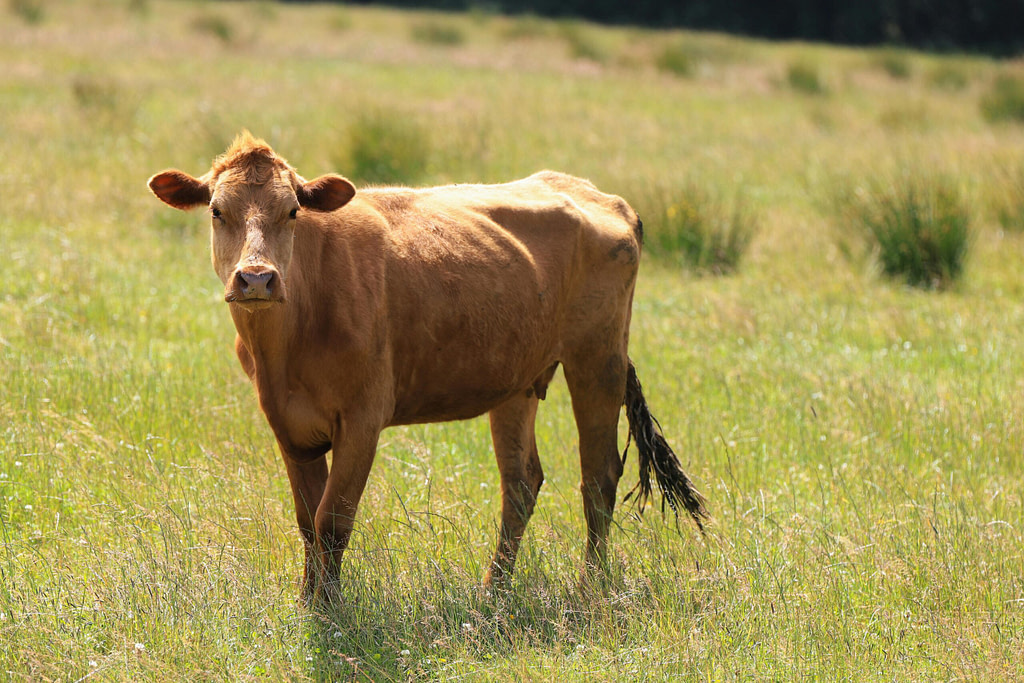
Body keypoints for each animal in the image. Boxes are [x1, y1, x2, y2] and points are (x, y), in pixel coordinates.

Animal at [148, 131, 706, 604]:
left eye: (292, 211)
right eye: (217, 211)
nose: (257, 279)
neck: (285, 347)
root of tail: (598, 194)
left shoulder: (363, 417)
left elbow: (333, 519)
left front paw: (328, 610)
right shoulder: (287, 423)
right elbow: (308, 520)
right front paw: (308, 600)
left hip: (598, 356)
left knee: (599, 474)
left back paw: (590, 585)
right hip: (518, 379)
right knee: (521, 482)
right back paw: (493, 589)